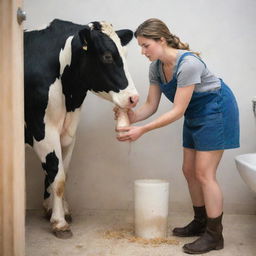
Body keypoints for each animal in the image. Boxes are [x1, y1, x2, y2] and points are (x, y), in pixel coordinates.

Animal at [24, 19, 138, 238]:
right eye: (107, 56)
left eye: (125, 53)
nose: (133, 98)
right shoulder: (42, 131)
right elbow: (57, 174)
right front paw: (59, 222)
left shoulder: (68, 132)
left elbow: (62, 172)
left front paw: (55, 209)